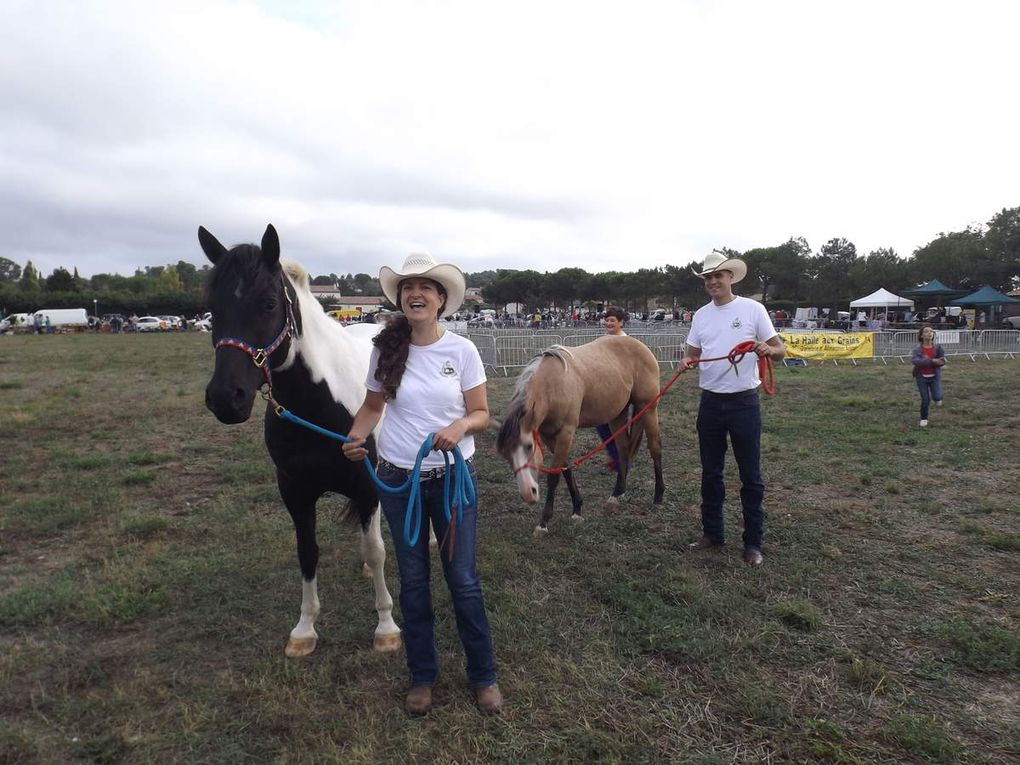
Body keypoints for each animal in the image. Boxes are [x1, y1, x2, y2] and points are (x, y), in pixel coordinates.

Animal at [198, 223, 401, 660]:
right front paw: (305, 629)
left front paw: (386, 626)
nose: (226, 398)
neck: (317, 406)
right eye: (211, 310)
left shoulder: (365, 484)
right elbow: (308, 553)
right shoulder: (295, 491)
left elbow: (375, 549)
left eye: (269, 303)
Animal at [495, 338, 669, 534]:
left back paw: (658, 497)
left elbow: (554, 476)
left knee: (655, 448)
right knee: (623, 449)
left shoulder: (566, 432)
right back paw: (616, 495)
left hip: (648, 408)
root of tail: (642, 346)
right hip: (617, 414)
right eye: (505, 454)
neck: (552, 385)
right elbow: (566, 469)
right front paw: (577, 509)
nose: (528, 493)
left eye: (529, 446)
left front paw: (544, 522)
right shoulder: (549, 436)